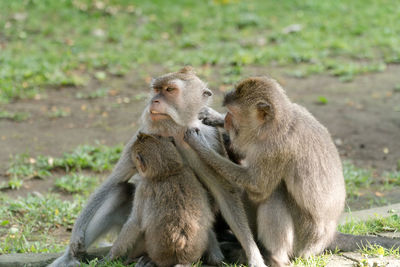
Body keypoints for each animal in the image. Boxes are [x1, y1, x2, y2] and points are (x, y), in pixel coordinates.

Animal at [108, 133, 222, 266]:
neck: (168, 172)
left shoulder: (143, 188)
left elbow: (135, 222)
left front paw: (110, 255)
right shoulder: (190, 172)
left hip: (159, 255)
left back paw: (136, 259)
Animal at [186, 76, 398, 266]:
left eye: (233, 113)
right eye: (228, 112)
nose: (228, 119)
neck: (276, 123)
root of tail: (328, 237)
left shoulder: (274, 149)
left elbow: (258, 188)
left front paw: (201, 147)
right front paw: (214, 118)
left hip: (304, 241)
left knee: (274, 195)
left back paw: (273, 258)